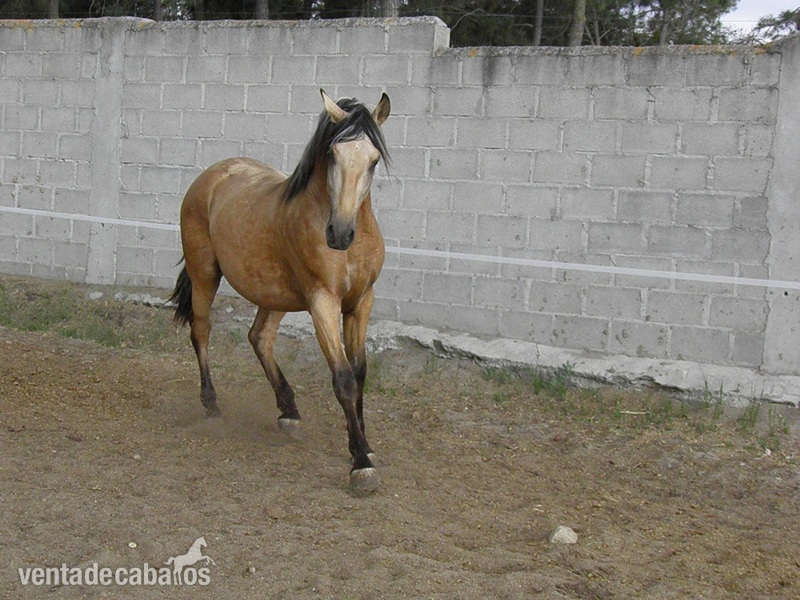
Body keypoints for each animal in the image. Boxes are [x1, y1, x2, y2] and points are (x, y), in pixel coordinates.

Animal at [169, 90, 390, 493]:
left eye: (374, 159)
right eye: (332, 154)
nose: (339, 233)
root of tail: (211, 176)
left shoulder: (361, 302)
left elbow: (360, 371)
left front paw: (364, 444)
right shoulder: (322, 301)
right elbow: (343, 378)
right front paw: (361, 465)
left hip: (274, 293)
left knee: (260, 337)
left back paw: (289, 411)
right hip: (205, 275)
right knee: (201, 331)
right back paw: (212, 406)